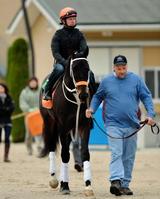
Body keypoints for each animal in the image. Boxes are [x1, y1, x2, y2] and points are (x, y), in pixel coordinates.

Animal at [39, 52, 95, 197]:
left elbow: (85, 153)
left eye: (87, 69)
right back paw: (54, 179)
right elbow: (64, 154)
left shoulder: (84, 126)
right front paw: (65, 186)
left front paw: (88, 185)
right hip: (50, 123)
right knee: (52, 147)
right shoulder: (62, 127)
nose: (84, 95)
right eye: (74, 69)